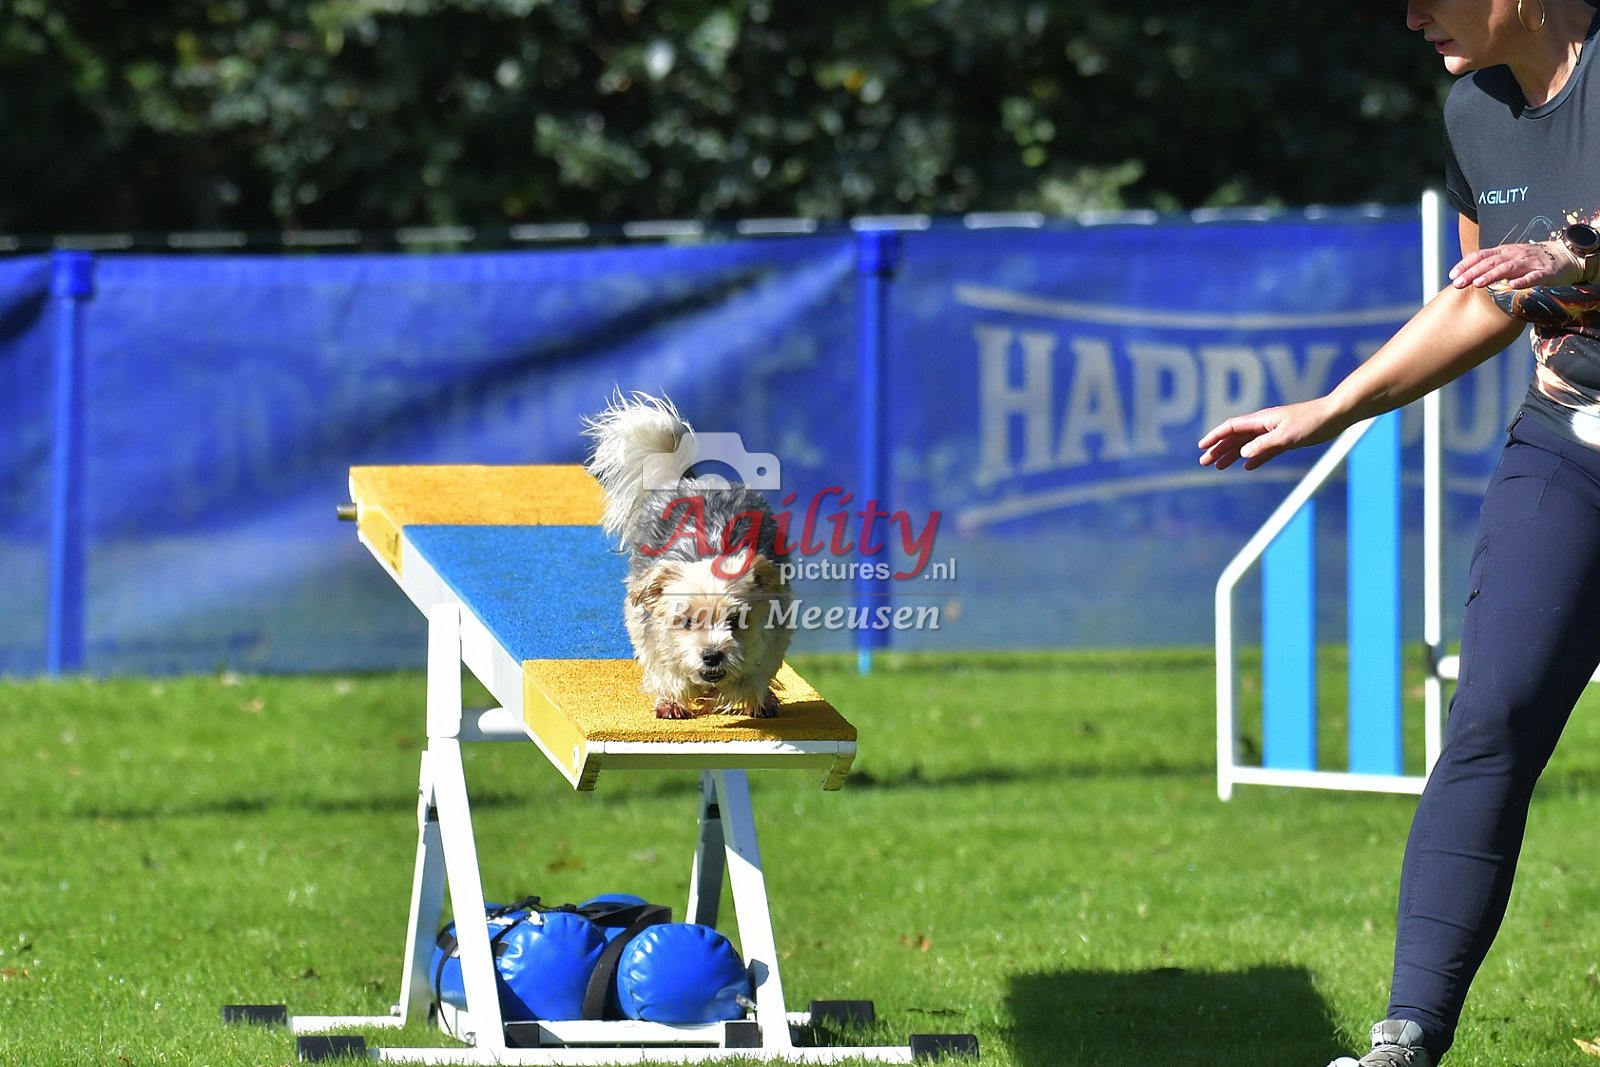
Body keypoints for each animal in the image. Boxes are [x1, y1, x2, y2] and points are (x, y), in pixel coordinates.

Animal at [582, 392, 793, 719]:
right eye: (686, 621)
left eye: (736, 620)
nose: (712, 655)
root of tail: (690, 481)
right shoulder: (647, 627)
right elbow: (664, 665)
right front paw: (673, 698)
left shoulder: (775, 634)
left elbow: (754, 674)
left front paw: (745, 693)